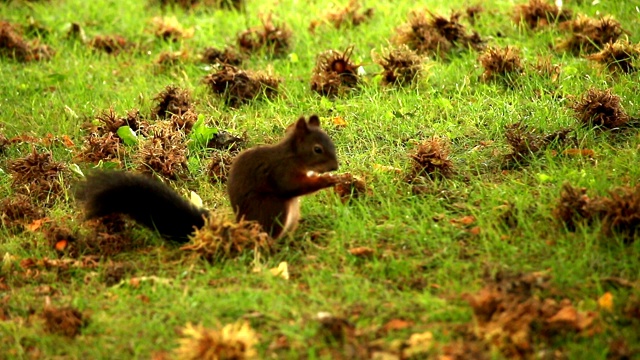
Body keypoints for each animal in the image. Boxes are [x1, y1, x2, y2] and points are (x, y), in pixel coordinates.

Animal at [75, 115, 340, 242]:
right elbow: (290, 186)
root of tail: (241, 225)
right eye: (318, 149)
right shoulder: (280, 171)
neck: (294, 156)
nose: (336, 166)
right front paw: (328, 181)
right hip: (273, 209)